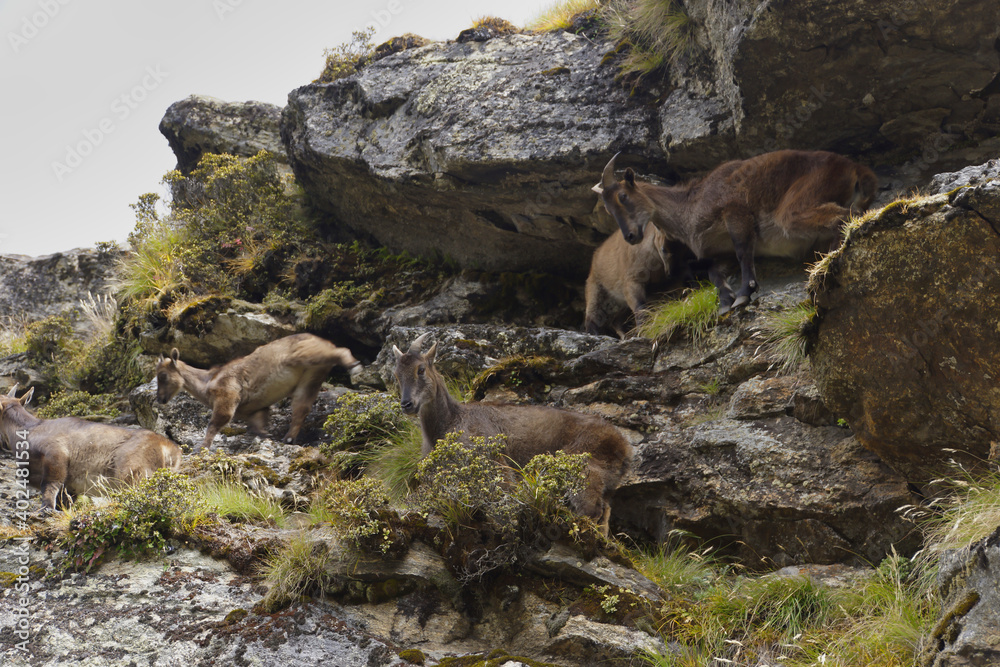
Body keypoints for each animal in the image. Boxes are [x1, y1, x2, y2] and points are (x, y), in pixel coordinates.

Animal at [0, 385, 183, 510]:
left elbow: (50, 487)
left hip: (132, 472)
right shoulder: (70, 486)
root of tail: (169, 449)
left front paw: (46, 509)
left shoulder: (56, 455)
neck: (30, 430)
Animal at [155, 333, 362, 452]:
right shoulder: (255, 410)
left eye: (163, 376)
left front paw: (202, 447)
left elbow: (215, 424)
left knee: (340, 350)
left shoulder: (227, 396)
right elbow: (258, 426)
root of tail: (318, 338)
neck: (207, 382)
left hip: (306, 356)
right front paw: (265, 436)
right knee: (301, 408)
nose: (160, 399)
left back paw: (354, 366)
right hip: (311, 377)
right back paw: (289, 438)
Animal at [392, 333, 632, 534]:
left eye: (421, 369)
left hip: (582, 471)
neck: (448, 422)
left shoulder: (496, 464)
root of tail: (624, 448)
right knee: (604, 513)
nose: (407, 404)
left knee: (592, 511)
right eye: (397, 375)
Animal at [592, 150, 878, 313]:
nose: (631, 236)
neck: (690, 206)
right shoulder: (720, 250)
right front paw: (724, 302)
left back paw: (826, 265)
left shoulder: (735, 212)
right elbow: (714, 273)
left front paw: (744, 294)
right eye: (607, 208)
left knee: (844, 215)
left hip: (796, 206)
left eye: (623, 196)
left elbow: (744, 253)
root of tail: (856, 169)